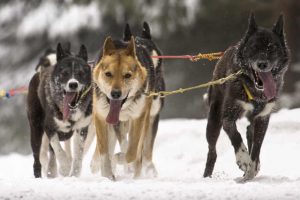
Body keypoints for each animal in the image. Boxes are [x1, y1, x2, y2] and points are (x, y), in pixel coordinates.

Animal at [27, 43, 92, 177]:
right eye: (65, 73)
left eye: (80, 72)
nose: (73, 84)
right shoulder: (49, 127)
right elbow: (58, 149)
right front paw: (65, 167)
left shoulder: (82, 128)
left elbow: (78, 153)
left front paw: (75, 173)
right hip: (36, 130)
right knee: (38, 157)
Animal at [92, 30, 166, 180]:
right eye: (108, 74)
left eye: (127, 75)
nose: (115, 93)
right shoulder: (101, 117)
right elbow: (104, 152)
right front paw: (107, 174)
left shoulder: (138, 118)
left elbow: (132, 152)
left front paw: (120, 159)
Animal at [203, 13, 290, 180]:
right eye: (254, 47)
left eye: (272, 48)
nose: (262, 64)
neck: (255, 92)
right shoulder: (228, 117)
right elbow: (235, 136)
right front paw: (243, 159)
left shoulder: (263, 118)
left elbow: (256, 148)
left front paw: (251, 170)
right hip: (214, 120)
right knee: (212, 152)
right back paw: (207, 176)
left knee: (250, 132)